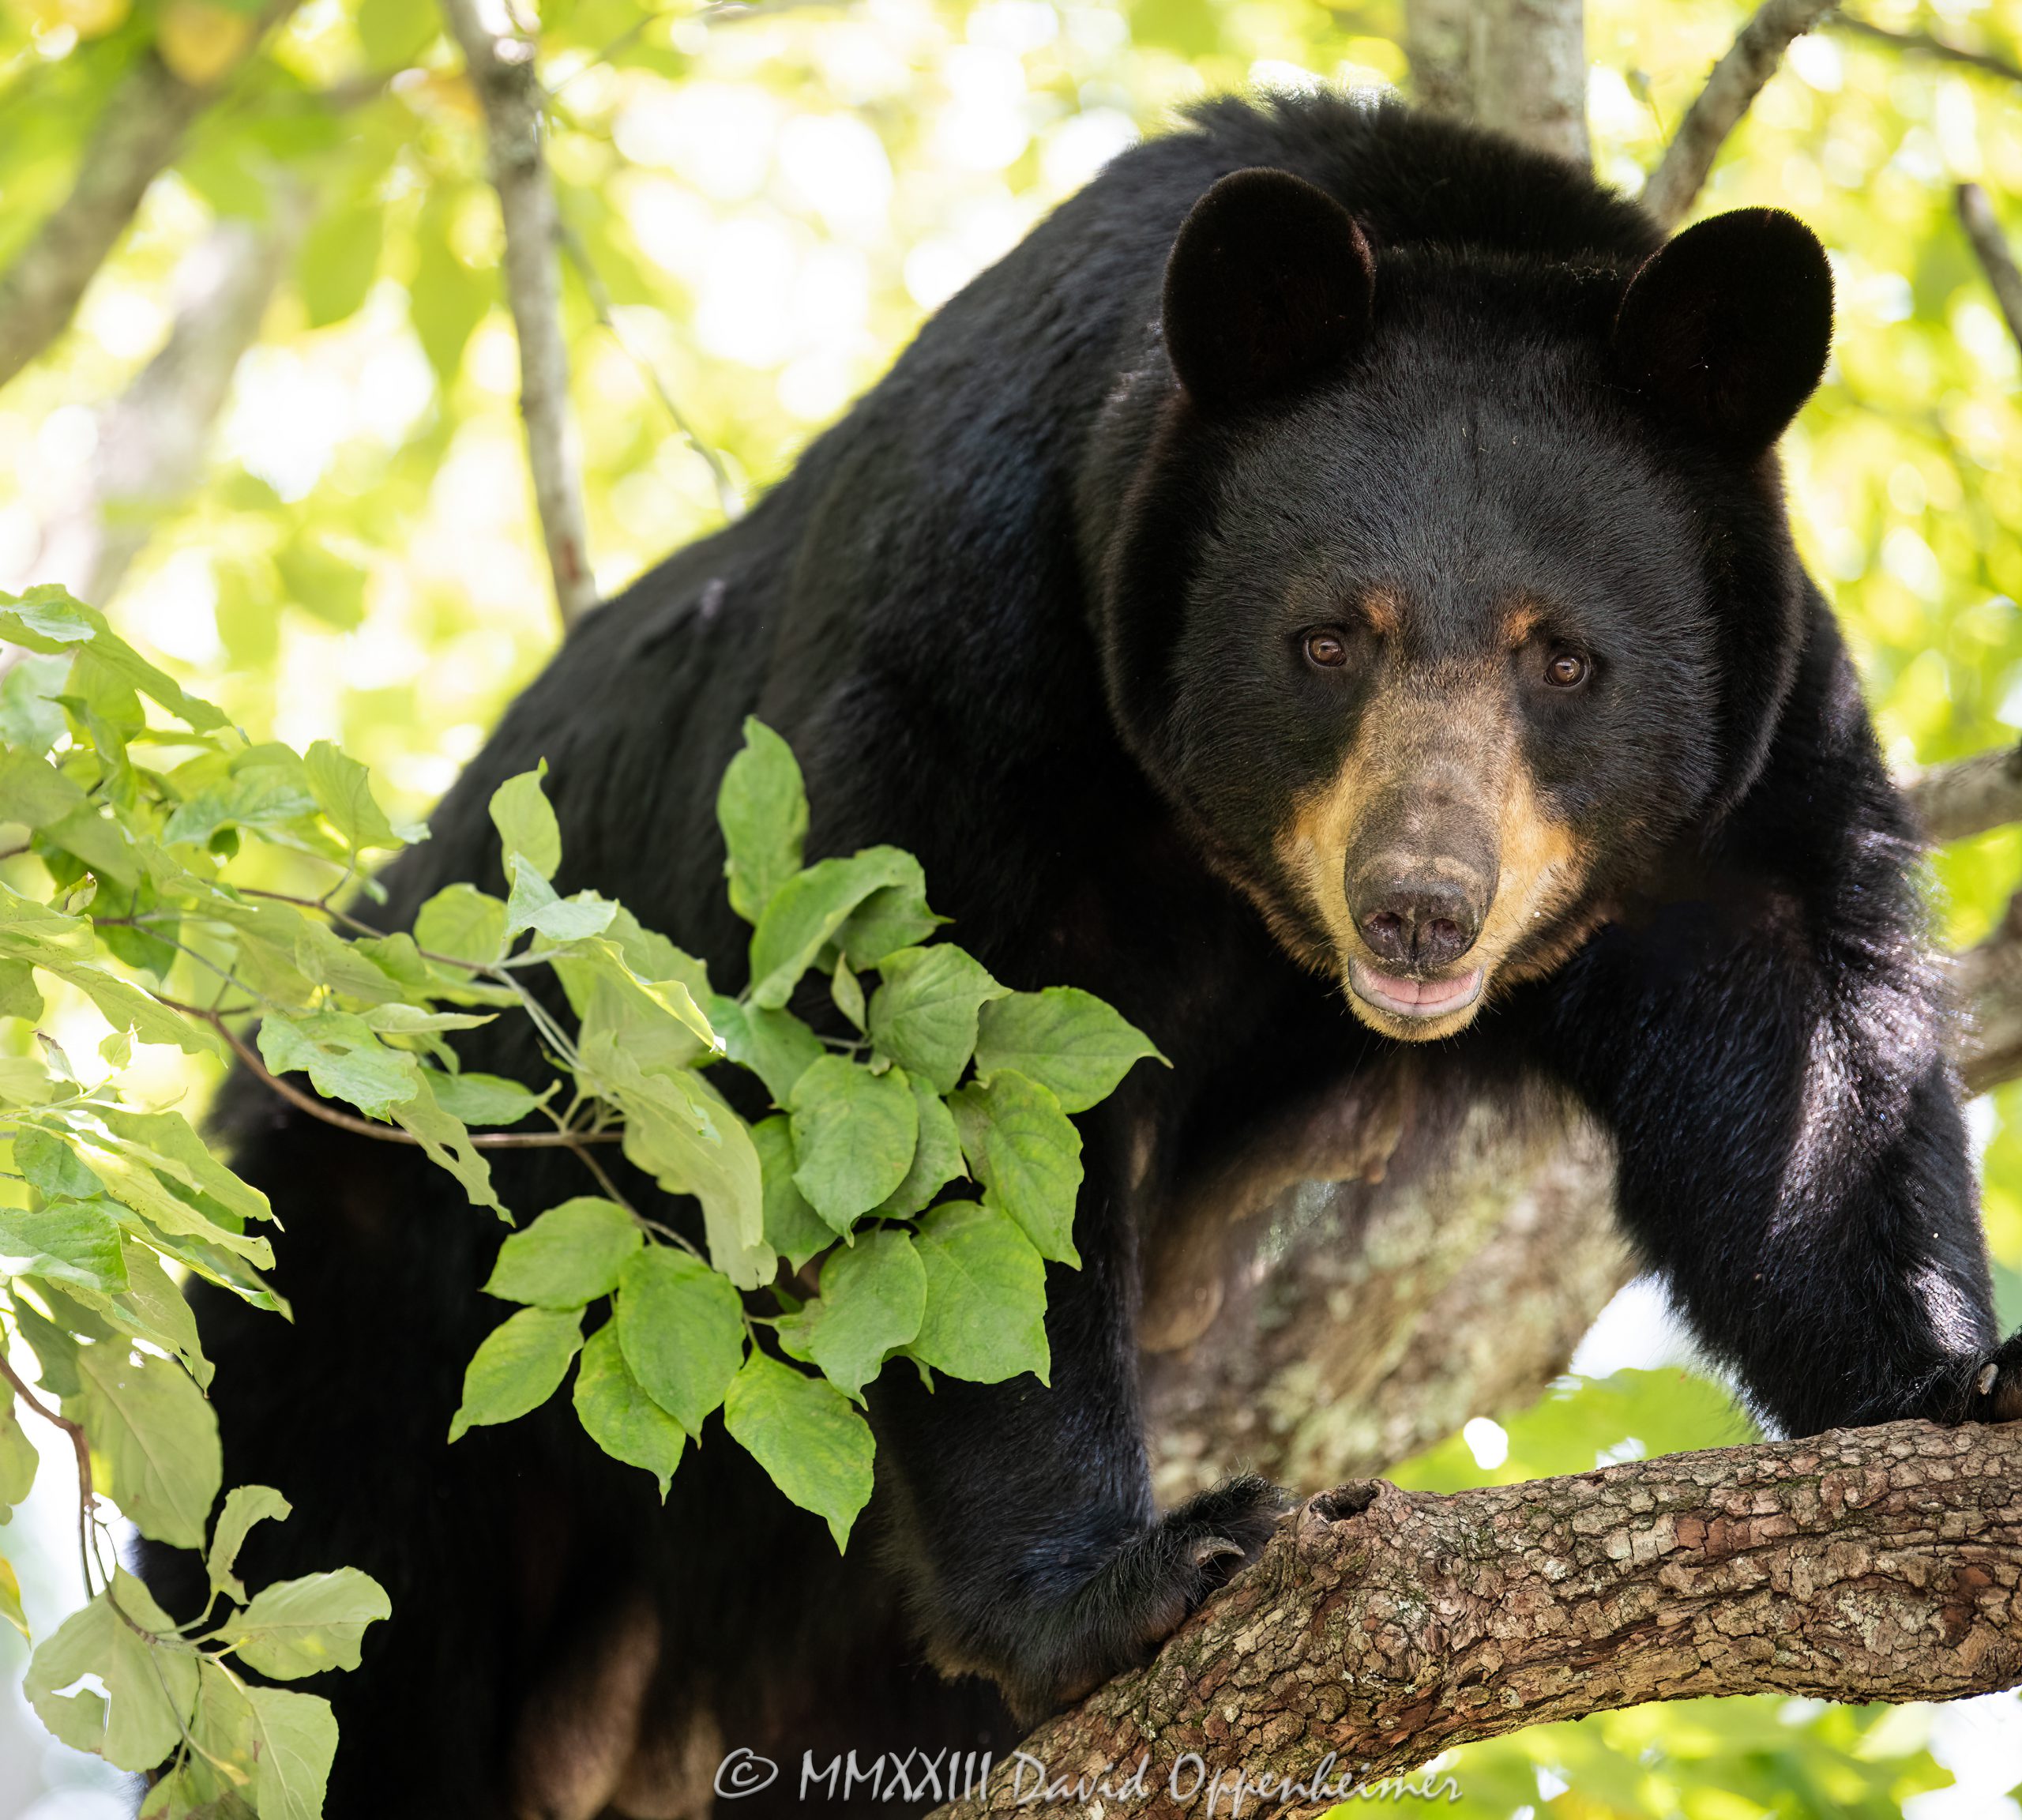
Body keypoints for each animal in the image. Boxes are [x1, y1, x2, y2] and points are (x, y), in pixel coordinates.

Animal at [153, 88, 2022, 1820]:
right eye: (1329, 638)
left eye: (1562, 658)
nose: (1420, 906)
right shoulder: (970, 662)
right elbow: (940, 1115)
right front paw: (1124, 1581)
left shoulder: (1752, 770)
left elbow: (1796, 1074)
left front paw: (1955, 1375)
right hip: (383, 1283)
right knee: (344, 1617)